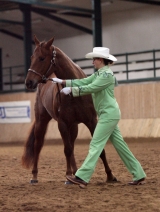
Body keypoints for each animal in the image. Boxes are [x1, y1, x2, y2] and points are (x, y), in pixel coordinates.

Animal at [21, 35, 116, 184]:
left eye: (41, 58)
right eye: (31, 57)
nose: (28, 82)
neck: (74, 93)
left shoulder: (91, 121)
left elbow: (99, 149)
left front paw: (110, 176)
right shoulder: (62, 123)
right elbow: (67, 149)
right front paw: (67, 174)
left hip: (74, 126)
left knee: (71, 145)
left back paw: (75, 173)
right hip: (42, 120)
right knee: (38, 145)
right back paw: (35, 176)